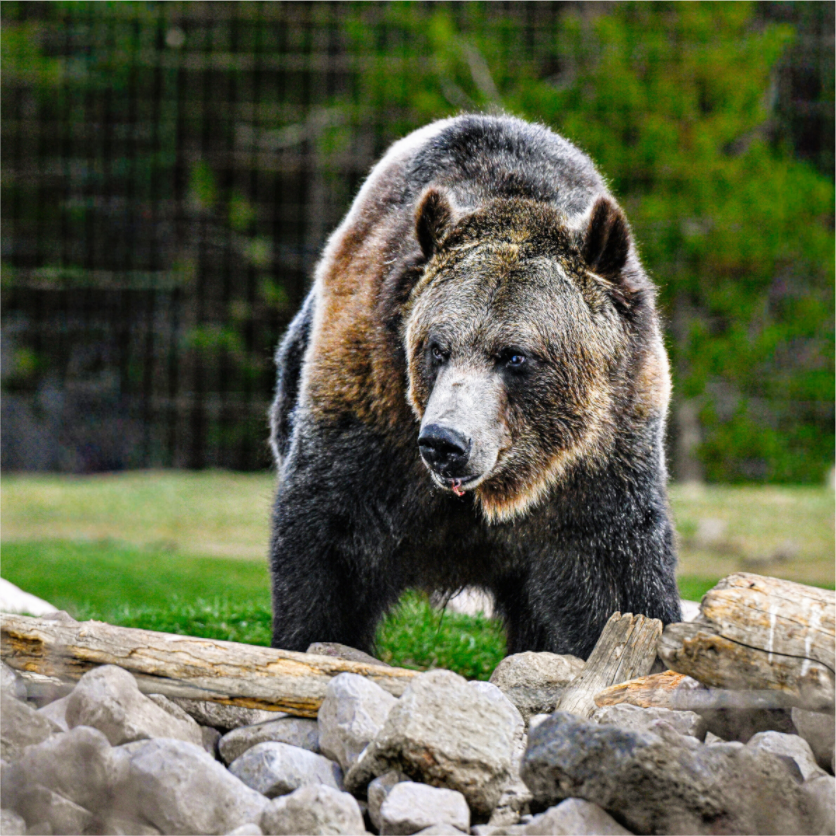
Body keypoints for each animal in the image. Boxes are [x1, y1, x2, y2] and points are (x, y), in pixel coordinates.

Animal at [268, 114, 681, 660]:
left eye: (515, 355)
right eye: (436, 348)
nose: (445, 443)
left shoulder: (600, 460)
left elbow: (616, 582)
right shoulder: (367, 407)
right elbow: (325, 550)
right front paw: (310, 638)